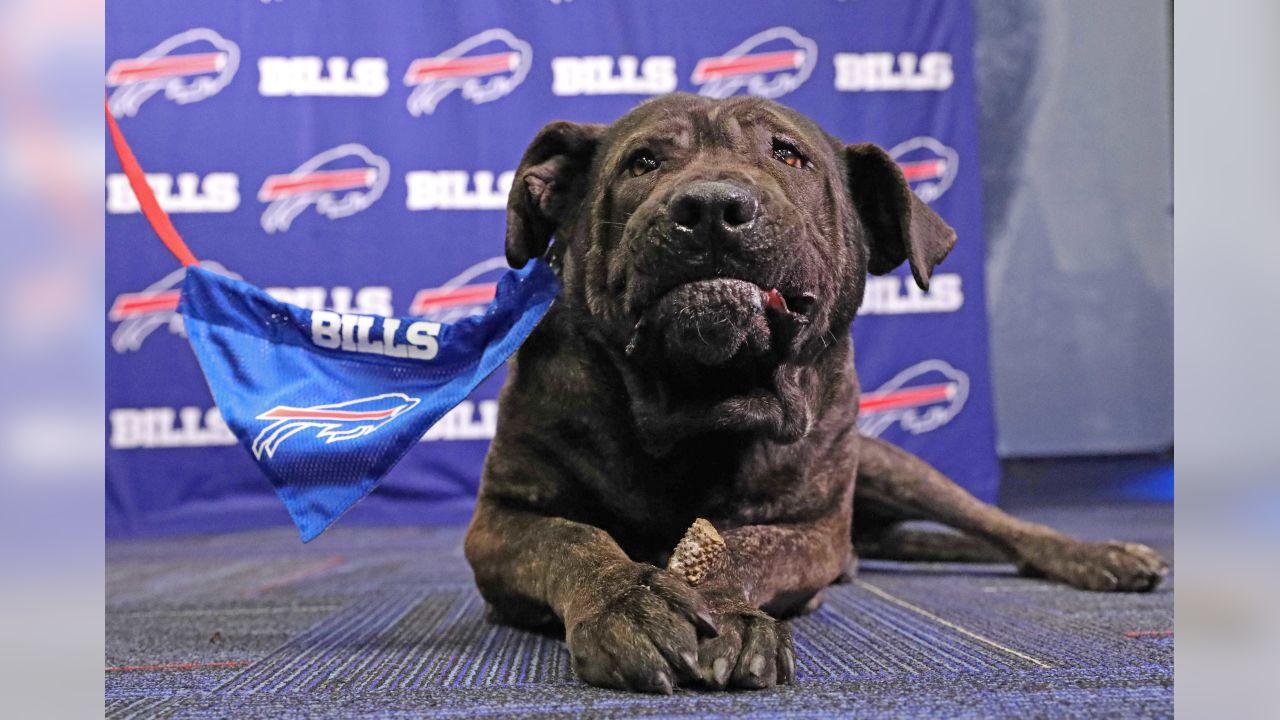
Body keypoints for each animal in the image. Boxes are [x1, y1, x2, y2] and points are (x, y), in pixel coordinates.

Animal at [463, 92, 1172, 691]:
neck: (699, 408)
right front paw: (629, 600)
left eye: (788, 155)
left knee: (997, 527)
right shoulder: (502, 517)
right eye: (643, 162)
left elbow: (747, 546)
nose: (712, 206)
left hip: (890, 468)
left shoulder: (812, 528)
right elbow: (574, 541)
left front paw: (727, 609)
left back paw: (1099, 555)